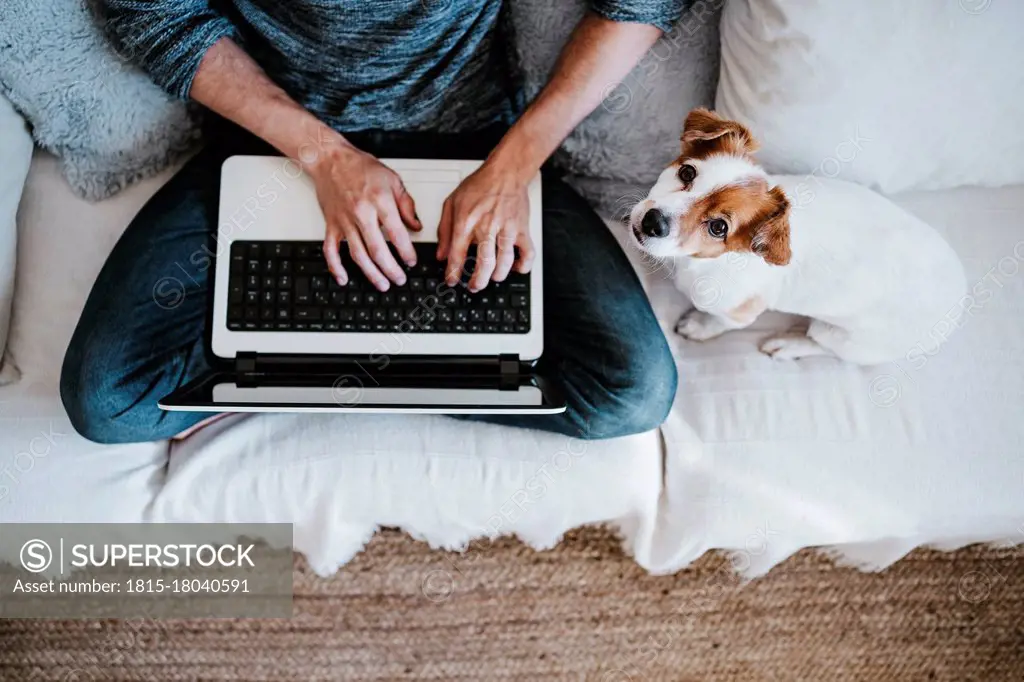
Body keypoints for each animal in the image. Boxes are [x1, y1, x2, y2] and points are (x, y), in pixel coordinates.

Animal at [626, 106, 962, 364]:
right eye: (687, 173)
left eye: (718, 228)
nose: (653, 222)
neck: (700, 260)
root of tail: (956, 304)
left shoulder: (738, 314)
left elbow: (719, 323)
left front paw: (699, 326)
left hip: (844, 338)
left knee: (825, 346)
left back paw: (787, 346)